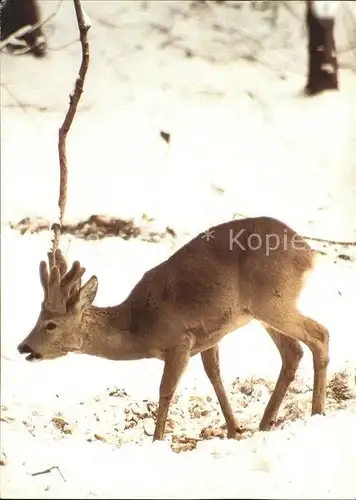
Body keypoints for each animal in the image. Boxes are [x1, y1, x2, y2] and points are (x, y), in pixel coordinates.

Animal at [16, 217, 328, 440]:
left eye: (50, 324)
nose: (23, 346)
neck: (140, 327)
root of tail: (309, 253)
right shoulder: (210, 336)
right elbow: (215, 376)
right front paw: (234, 430)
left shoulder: (180, 341)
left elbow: (166, 389)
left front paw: (157, 440)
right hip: (263, 310)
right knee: (293, 352)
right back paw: (266, 423)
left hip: (273, 300)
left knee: (319, 334)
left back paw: (317, 412)